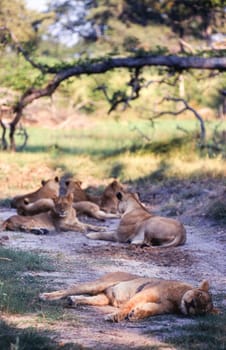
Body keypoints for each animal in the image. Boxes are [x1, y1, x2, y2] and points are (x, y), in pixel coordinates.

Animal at [39, 270, 217, 322]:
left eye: (202, 310)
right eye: (198, 294)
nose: (192, 304)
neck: (177, 300)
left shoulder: (162, 307)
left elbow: (149, 310)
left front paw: (136, 315)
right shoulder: (145, 293)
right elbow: (128, 305)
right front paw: (115, 316)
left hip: (102, 299)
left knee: (87, 298)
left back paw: (73, 301)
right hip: (97, 284)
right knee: (67, 290)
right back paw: (45, 296)